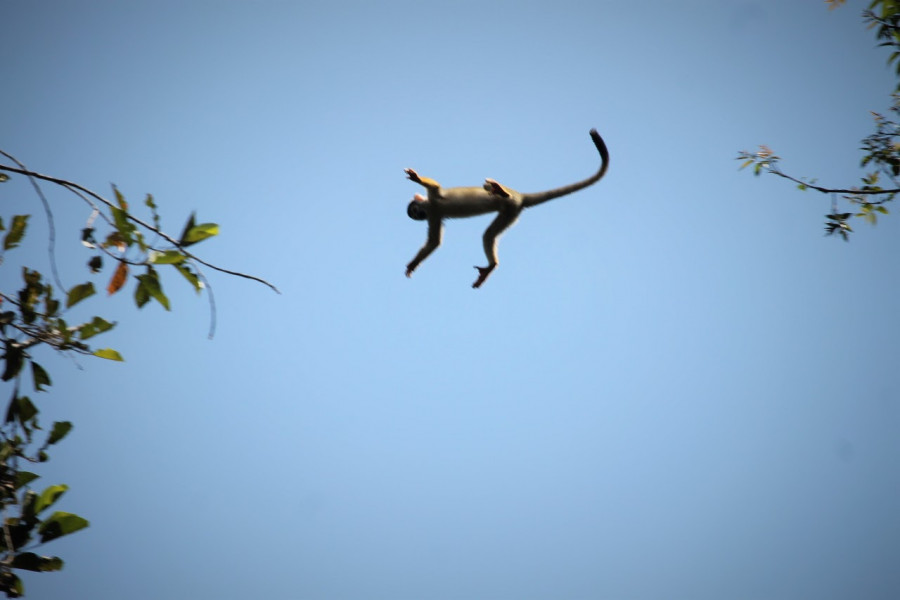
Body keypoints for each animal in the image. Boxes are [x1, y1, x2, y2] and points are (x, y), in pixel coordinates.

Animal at [404, 128, 609, 288]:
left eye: (415, 211)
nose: (419, 213)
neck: (430, 207)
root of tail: (520, 196)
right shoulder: (434, 216)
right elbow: (434, 242)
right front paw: (413, 265)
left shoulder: (433, 201)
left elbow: (434, 186)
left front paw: (416, 177)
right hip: (511, 213)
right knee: (489, 235)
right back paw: (491, 266)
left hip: (510, 204)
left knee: (489, 191)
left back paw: (500, 191)